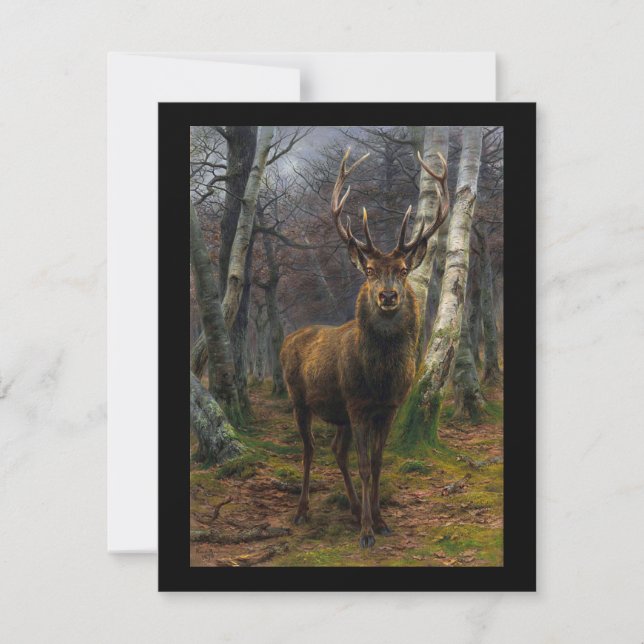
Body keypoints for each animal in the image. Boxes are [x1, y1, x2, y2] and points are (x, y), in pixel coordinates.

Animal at [280, 149, 449, 548]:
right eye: (370, 270)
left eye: (403, 270)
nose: (387, 296)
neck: (380, 380)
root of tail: (289, 338)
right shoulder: (357, 404)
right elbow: (362, 465)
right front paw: (368, 533)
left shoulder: (387, 408)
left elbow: (376, 462)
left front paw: (381, 520)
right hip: (298, 397)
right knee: (310, 449)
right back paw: (302, 511)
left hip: (337, 411)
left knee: (334, 450)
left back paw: (356, 509)